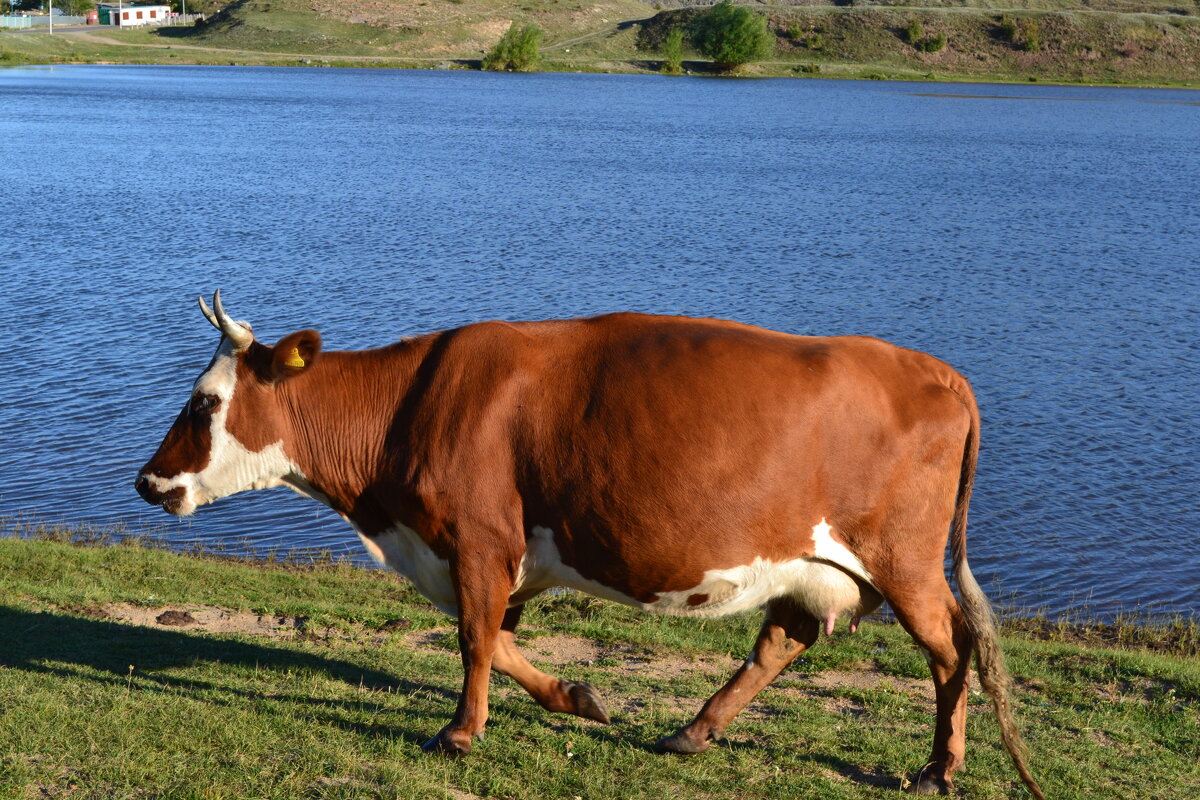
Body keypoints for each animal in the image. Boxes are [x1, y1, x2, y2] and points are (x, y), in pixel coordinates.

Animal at [136, 293, 1041, 800]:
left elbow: (473, 639)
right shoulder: (508, 557)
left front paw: (459, 735)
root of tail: (935, 370)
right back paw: (691, 733)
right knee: (782, 641)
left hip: (906, 559)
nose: (147, 482)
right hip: (812, 564)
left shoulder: (478, 537)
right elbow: (498, 640)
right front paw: (579, 698)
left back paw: (940, 769)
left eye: (203, 402)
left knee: (951, 649)